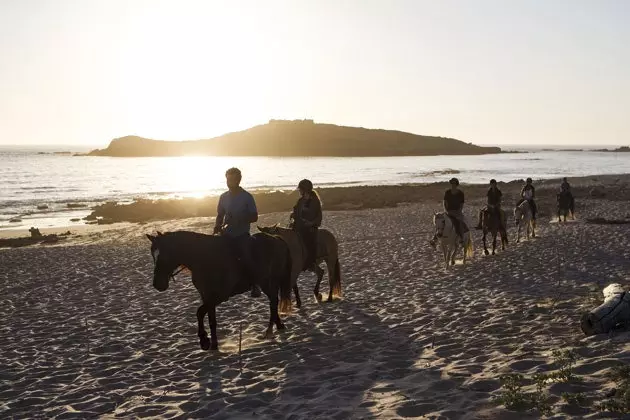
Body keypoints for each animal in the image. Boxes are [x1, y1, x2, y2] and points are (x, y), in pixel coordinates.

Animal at [148, 231, 294, 350]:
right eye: (153, 256)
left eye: (164, 255)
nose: (157, 284)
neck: (205, 259)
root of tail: (276, 238)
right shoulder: (206, 296)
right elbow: (210, 319)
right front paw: (212, 343)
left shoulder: (219, 296)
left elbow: (200, 312)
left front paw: (205, 340)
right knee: (273, 302)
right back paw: (278, 325)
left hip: (269, 281)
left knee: (273, 302)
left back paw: (269, 330)